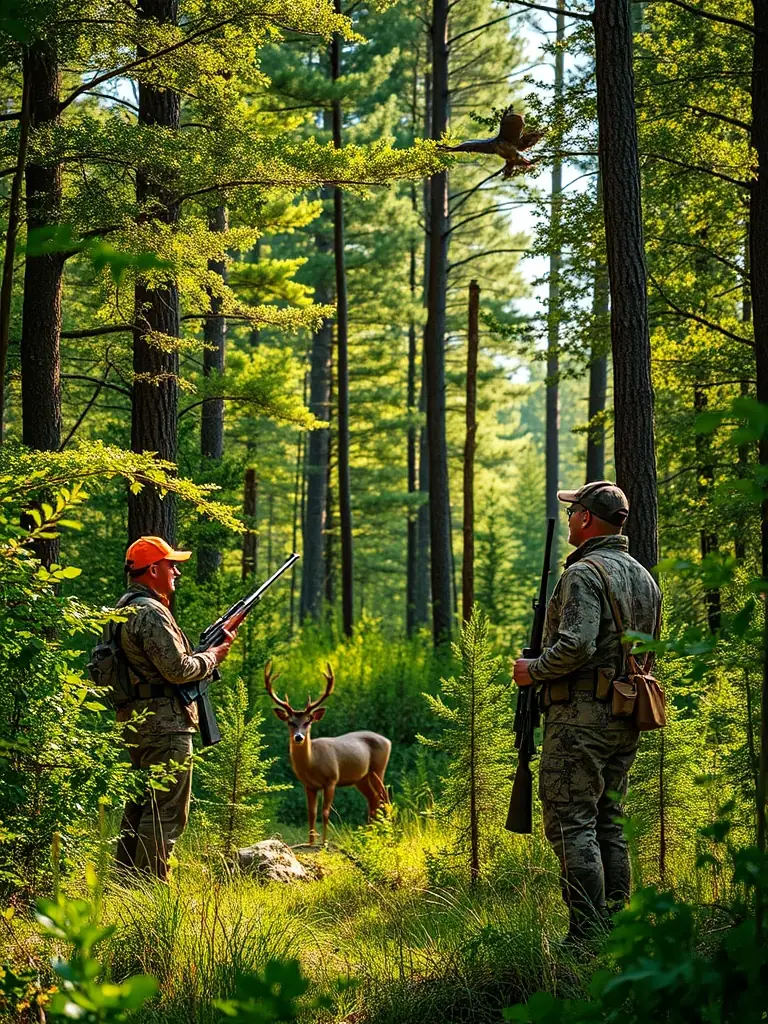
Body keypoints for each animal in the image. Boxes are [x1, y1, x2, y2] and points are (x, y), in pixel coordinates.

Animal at [264, 661, 391, 846]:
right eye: (290, 722)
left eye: (308, 722)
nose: (299, 737)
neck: (313, 763)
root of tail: (388, 741)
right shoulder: (308, 785)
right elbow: (311, 813)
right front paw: (310, 842)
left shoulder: (332, 779)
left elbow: (325, 812)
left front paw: (323, 842)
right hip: (361, 778)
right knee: (373, 800)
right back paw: (370, 834)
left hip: (378, 769)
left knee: (385, 798)